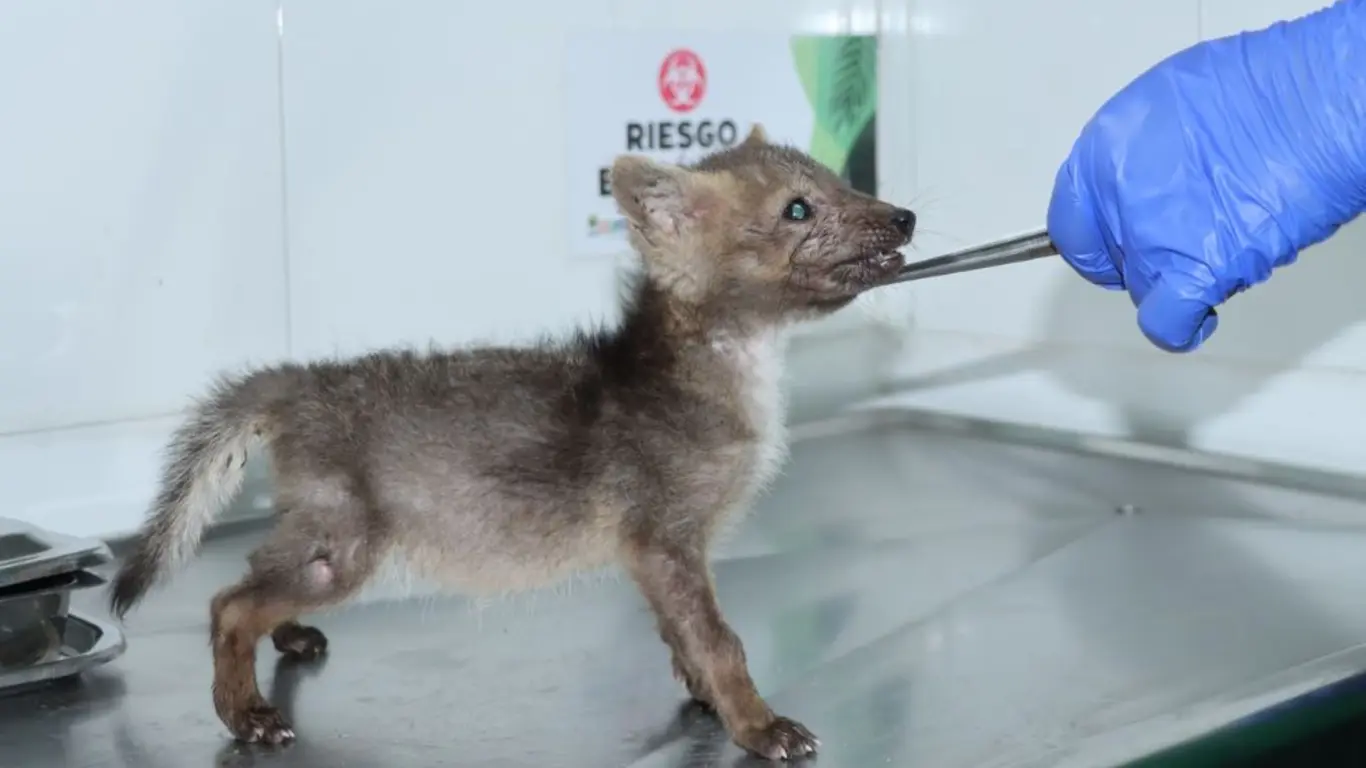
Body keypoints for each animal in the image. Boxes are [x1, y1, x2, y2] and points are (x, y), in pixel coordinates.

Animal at [107, 123, 915, 761]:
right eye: (798, 209)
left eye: (841, 179)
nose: (905, 216)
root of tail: (298, 380)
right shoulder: (666, 540)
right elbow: (722, 643)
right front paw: (760, 726)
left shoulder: (656, 558)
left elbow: (682, 638)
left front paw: (709, 701)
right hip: (345, 551)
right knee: (227, 604)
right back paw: (246, 714)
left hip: (317, 538)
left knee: (252, 576)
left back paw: (291, 637)